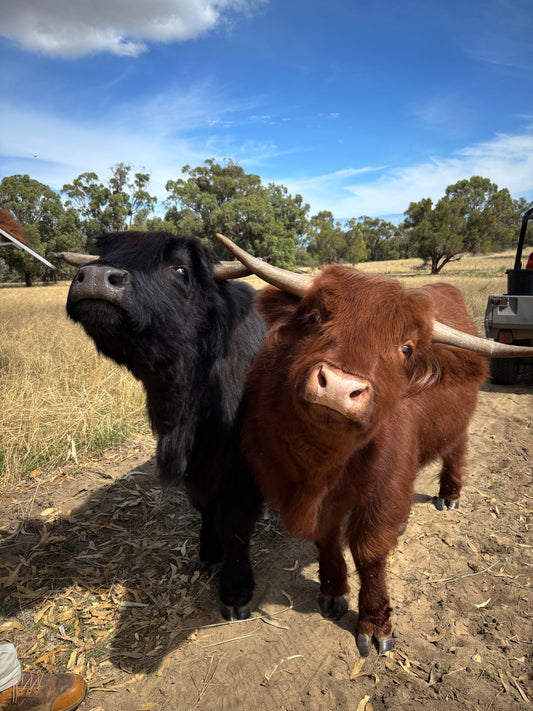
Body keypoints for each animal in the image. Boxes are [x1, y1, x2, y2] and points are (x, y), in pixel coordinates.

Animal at [66, 231, 266, 621]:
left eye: (180, 269)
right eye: (107, 251)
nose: (95, 277)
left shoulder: (244, 473)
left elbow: (234, 524)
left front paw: (235, 592)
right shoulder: (197, 468)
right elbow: (206, 509)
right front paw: (209, 554)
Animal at [216, 233, 533, 657]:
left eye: (406, 348)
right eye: (315, 317)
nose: (338, 387)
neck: (321, 468)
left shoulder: (384, 490)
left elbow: (370, 553)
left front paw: (375, 622)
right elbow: (326, 538)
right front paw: (333, 591)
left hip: (457, 428)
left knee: (456, 450)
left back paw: (449, 494)